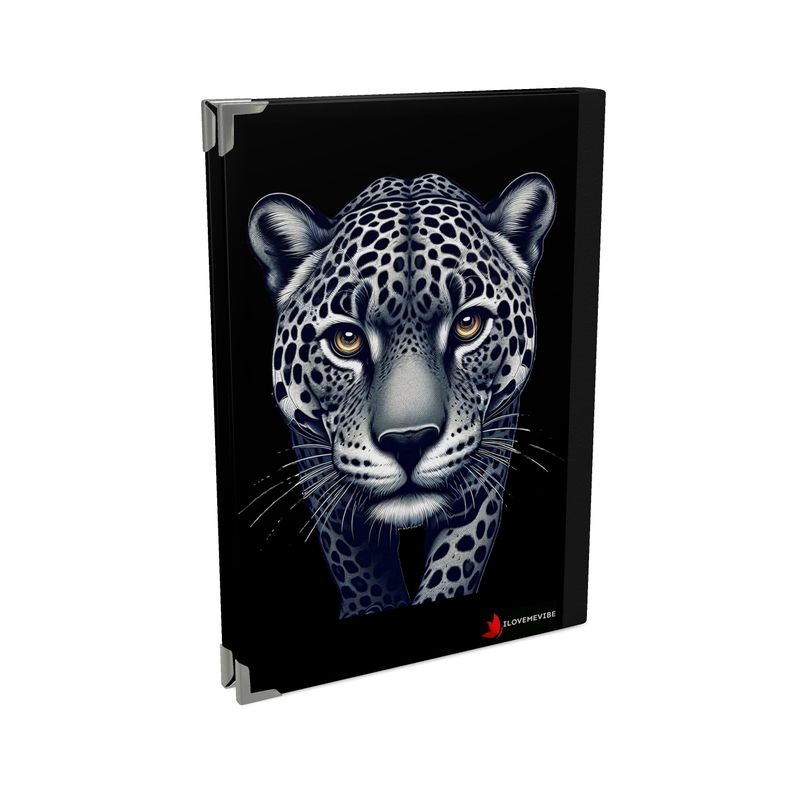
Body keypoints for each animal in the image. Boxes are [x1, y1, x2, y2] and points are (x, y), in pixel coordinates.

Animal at [247, 172, 555, 618]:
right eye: (347, 339)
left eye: (468, 324)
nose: (409, 442)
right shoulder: (317, 466)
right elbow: (360, 571)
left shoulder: (489, 457)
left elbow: (457, 560)